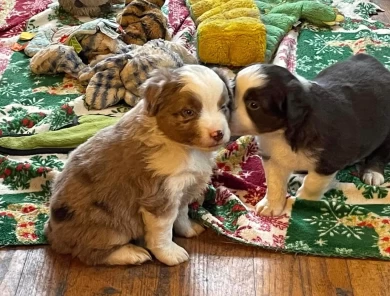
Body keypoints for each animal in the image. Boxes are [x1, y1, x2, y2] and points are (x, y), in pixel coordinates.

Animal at [230, 53, 390, 215]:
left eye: (253, 105)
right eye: (232, 92)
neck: (282, 133)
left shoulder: (329, 160)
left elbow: (312, 184)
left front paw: (303, 202)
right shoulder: (272, 157)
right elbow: (274, 183)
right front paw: (270, 205)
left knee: (380, 154)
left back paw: (373, 173)